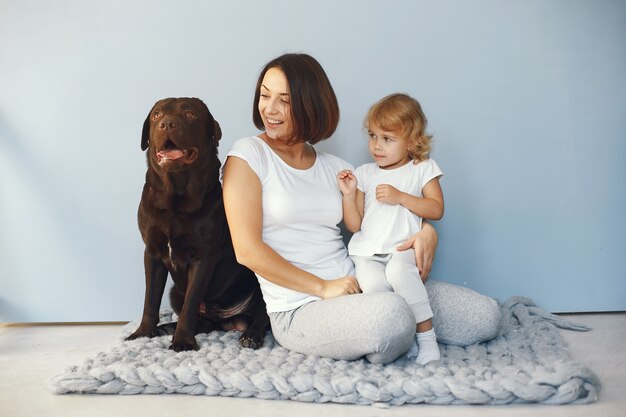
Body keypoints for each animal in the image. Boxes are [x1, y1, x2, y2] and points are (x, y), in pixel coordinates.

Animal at [128, 97, 270, 352]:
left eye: (190, 114)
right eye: (156, 116)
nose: (167, 123)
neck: (175, 199)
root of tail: (229, 320)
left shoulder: (203, 256)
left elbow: (190, 304)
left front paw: (183, 342)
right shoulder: (152, 253)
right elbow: (150, 299)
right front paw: (144, 333)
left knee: (262, 315)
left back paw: (251, 335)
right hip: (175, 292)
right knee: (203, 321)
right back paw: (167, 327)